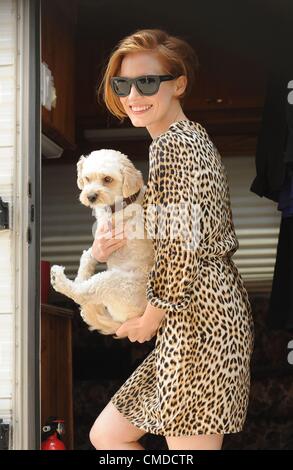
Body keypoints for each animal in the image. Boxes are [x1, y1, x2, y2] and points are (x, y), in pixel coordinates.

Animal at [50, 149, 154, 336]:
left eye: (107, 179)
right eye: (87, 178)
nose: (90, 196)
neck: (119, 205)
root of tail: (123, 321)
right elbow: (91, 254)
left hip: (114, 282)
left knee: (82, 293)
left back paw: (59, 279)